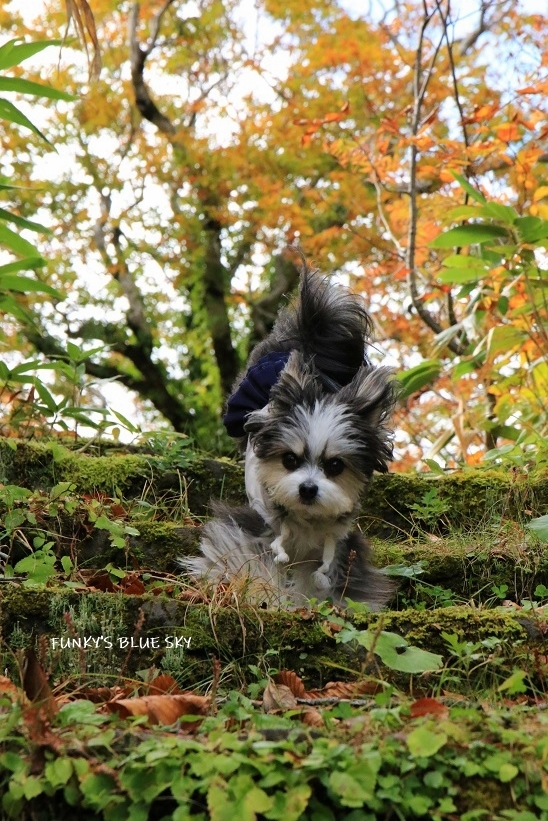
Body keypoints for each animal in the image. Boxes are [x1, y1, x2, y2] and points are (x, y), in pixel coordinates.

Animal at [182, 264, 396, 608]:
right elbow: (248, 559)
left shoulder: (336, 545)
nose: (308, 489)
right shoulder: (255, 525)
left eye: (335, 466)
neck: (305, 520)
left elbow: (329, 579)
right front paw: (267, 596)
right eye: (289, 460)